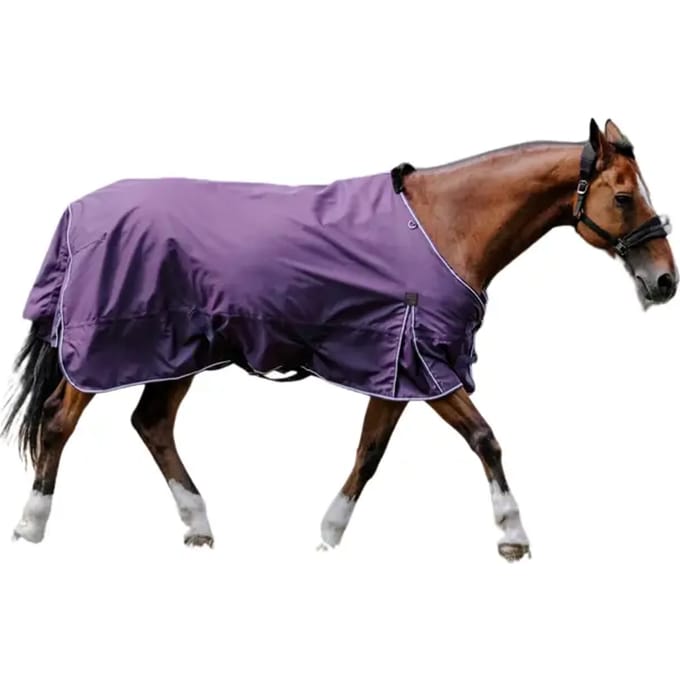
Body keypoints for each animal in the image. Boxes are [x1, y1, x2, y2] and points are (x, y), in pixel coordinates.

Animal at [2, 119, 676, 562]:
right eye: (624, 195)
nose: (665, 280)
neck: (446, 225)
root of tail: (78, 214)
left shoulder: (397, 367)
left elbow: (370, 451)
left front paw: (329, 533)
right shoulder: (427, 363)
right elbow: (484, 438)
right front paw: (512, 535)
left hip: (179, 353)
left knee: (151, 424)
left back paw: (198, 524)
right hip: (106, 351)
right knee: (60, 421)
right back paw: (32, 527)